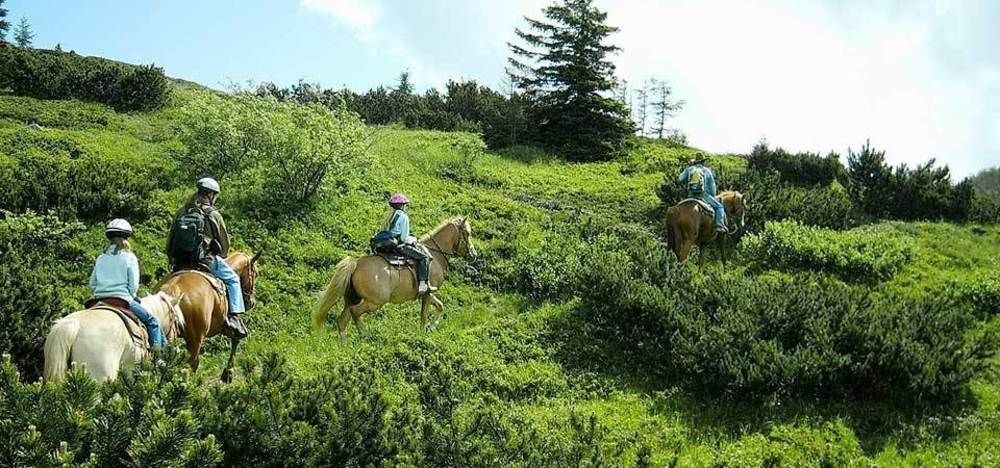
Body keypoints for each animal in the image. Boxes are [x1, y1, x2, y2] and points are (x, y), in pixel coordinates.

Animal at [157, 252, 262, 384]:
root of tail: (174, 288)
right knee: (186, 367)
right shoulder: (226, 326)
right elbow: (237, 339)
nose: (252, 302)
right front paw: (228, 373)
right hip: (195, 341)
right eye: (256, 273)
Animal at [316, 216, 480, 344]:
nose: (473, 255)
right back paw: (365, 335)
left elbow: (440, 306)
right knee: (355, 313)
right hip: (375, 301)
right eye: (468, 233)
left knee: (342, 320)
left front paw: (431, 328)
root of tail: (356, 264)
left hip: (353, 298)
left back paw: (345, 348)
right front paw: (423, 333)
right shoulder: (426, 294)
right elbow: (424, 315)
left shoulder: (427, 293)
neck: (434, 254)